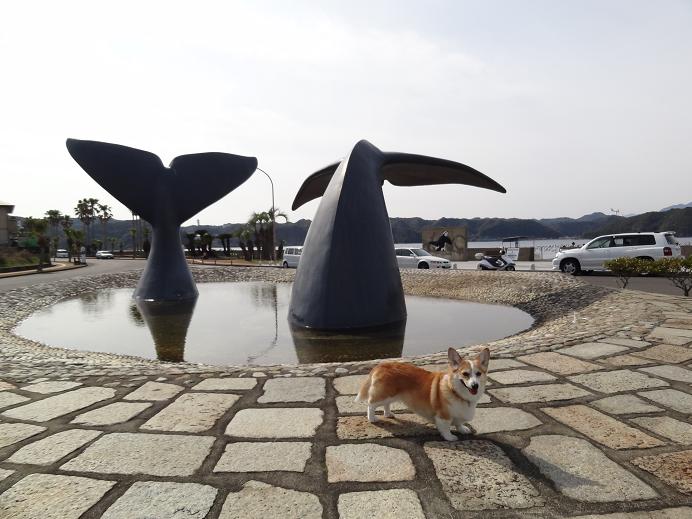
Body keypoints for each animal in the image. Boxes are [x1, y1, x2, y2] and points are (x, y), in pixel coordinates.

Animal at [354, 348, 490, 440]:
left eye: (478, 374)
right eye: (465, 374)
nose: (475, 385)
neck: (456, 392)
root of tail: (381, 364)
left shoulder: (458, 415)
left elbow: (459, 423)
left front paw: (463, 429)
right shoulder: (443, 416)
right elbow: (446, 429)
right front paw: (450, 437)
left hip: (392, 395)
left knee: (386, 405)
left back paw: (388, 414)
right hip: (383, 395)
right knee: (371, 404)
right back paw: (372, 418)